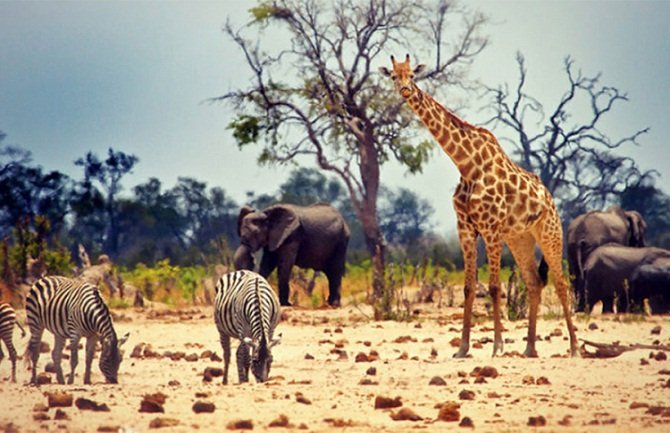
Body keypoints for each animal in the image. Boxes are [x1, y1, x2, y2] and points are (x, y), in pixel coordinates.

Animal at [380, 54, 580, 358]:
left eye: (412, 75)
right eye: (393, 75)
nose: (404, 90)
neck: (466, 164)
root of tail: (550, 198)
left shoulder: (491, 228)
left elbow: (495, 287)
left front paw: (497, 346)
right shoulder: (465, 228)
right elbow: (468, 287)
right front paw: (463, 348)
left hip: (549, 232)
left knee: (560, 283)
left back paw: (575, 348)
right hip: (520, 238)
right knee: (534, 283)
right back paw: (529, 349)